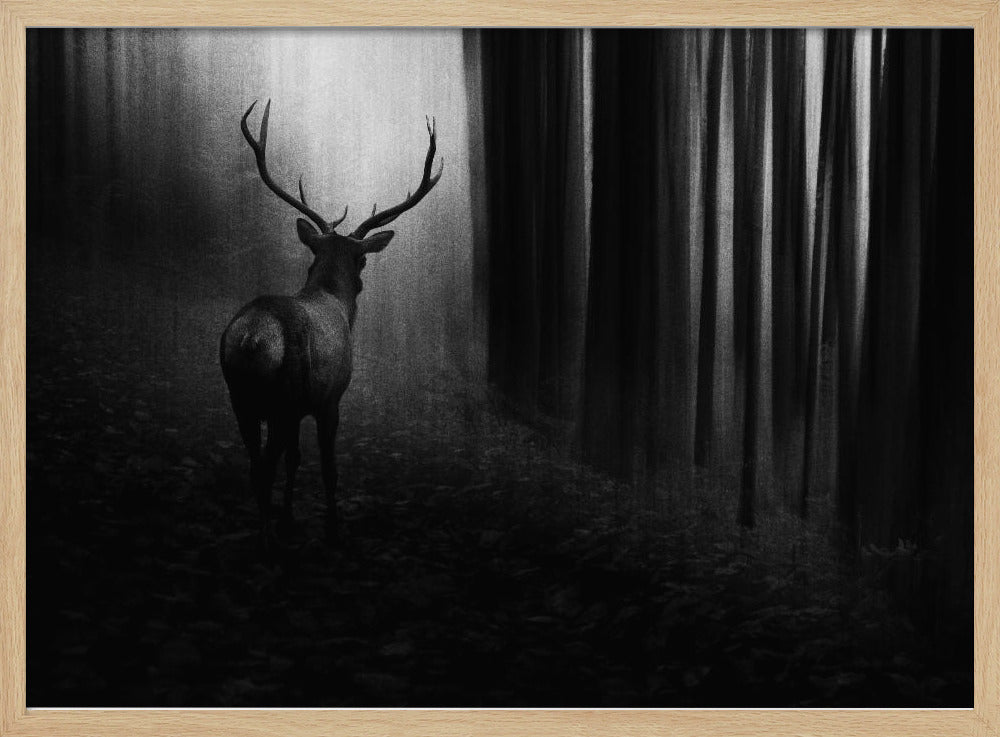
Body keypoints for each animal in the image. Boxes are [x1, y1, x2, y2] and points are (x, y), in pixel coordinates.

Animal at [220, 100, 443, 547]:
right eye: (363, 259)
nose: (361, 279)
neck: (334, 302)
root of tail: (252, 337)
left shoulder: (301, 407)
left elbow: (295, 460)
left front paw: (290, 515)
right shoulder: (329, 399)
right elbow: (327, 466)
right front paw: (333, 526)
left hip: (240, 396)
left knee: (255, 464)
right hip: (283, 396)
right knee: (264, 467)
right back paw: (267, 538)